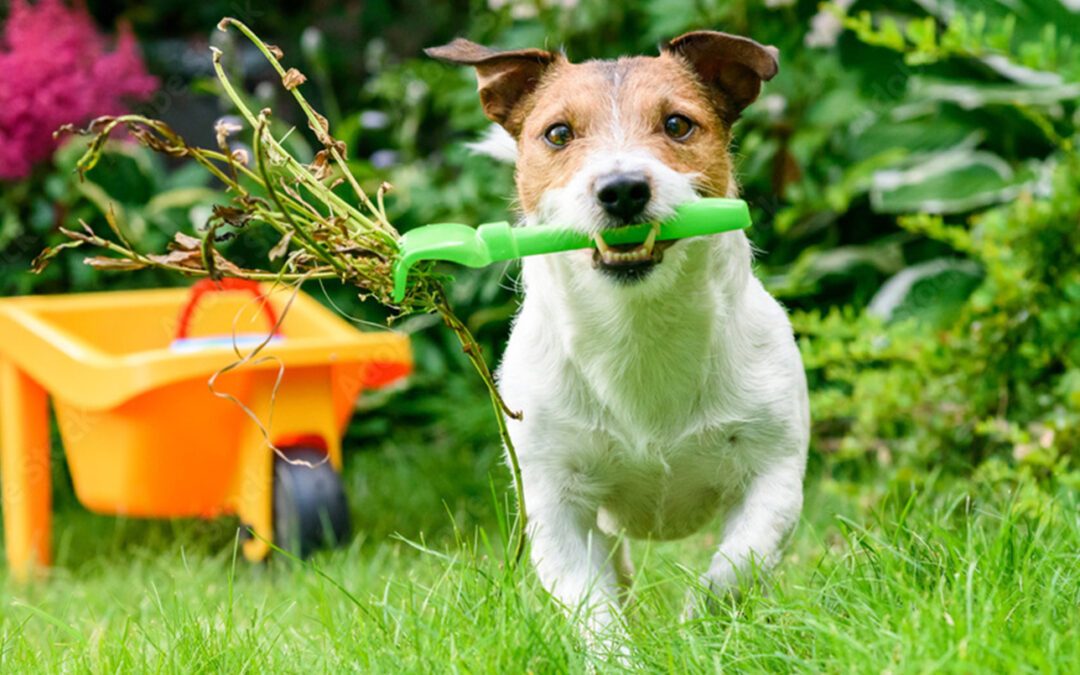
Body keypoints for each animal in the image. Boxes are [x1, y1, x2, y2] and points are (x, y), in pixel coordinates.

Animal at [425, 32, 807, 648]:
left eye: (677, 124)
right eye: (558, 134)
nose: (622, 189)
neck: (639, 329)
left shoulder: (773, 476)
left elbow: (732, 571)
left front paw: (696, 635)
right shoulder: (556, 505)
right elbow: (593, 608)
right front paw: (619, 653)